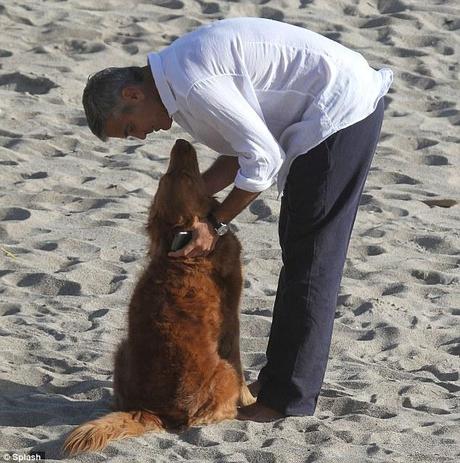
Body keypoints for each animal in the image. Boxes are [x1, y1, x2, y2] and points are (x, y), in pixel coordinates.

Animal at [63, 139, 253, 456]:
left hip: (122, 348)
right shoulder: (232, 320)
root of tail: (152, 410)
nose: (181, 141)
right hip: (222, 371)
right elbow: (240, 364)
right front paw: (250, 398)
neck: (179, 247)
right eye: (186, 177)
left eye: (166, 177)